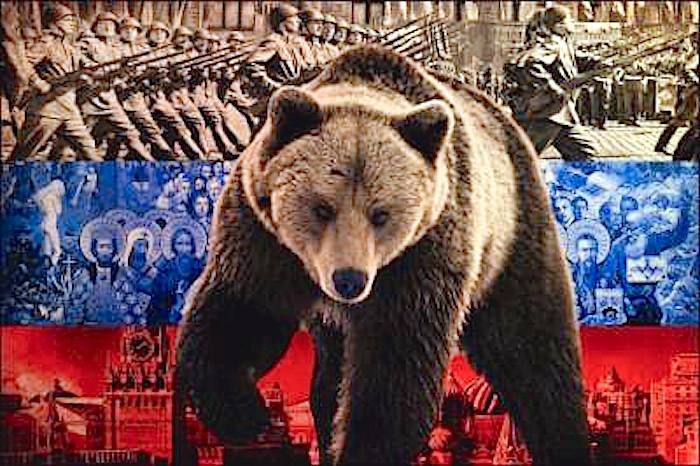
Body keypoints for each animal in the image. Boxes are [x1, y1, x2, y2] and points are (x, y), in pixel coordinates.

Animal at [175, 45, 590, 466]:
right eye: (322, 208)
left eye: (381, 214)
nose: (349, 279)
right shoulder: (263, 239)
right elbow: (242, 312)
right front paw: (245, 414)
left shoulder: (424, 255)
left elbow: (395, 367)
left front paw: (363, 447)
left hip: (509, 238)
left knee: (533, 352)